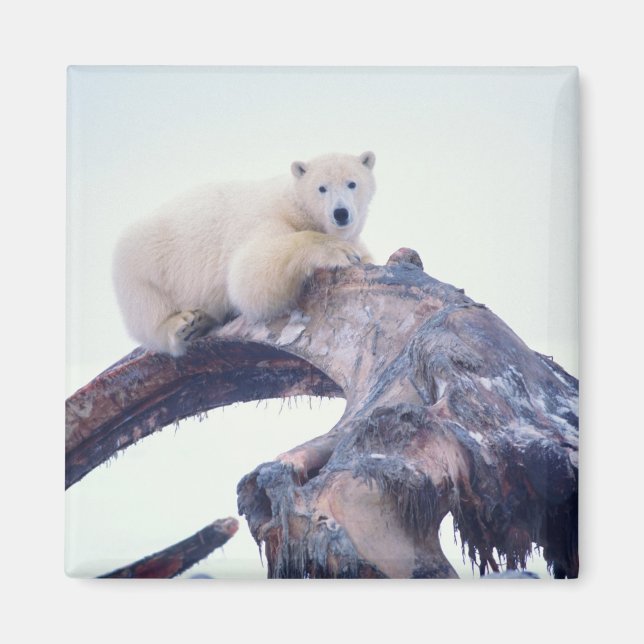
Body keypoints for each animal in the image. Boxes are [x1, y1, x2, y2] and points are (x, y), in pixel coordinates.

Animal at [113, 151, 376, 356]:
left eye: (352, 183)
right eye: (321, 188)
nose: (340, 213)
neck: (294, 206)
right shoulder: (264, 219)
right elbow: (249, 275)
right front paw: (338, 250)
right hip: (144, 263)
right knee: (148, 310)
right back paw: (185, 324)